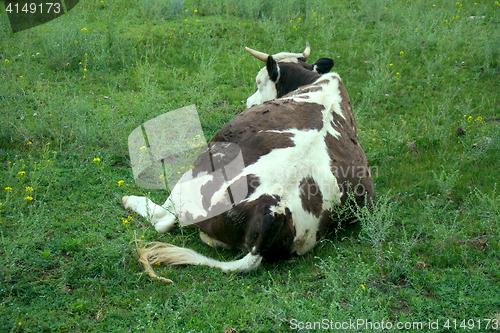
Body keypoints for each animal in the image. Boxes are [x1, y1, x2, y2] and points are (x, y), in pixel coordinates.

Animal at [123, 40, 376, 282]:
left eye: (258, 81)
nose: (249, 101)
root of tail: (275, 209)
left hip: (196, 173)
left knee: (163, 219)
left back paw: (131, 200)